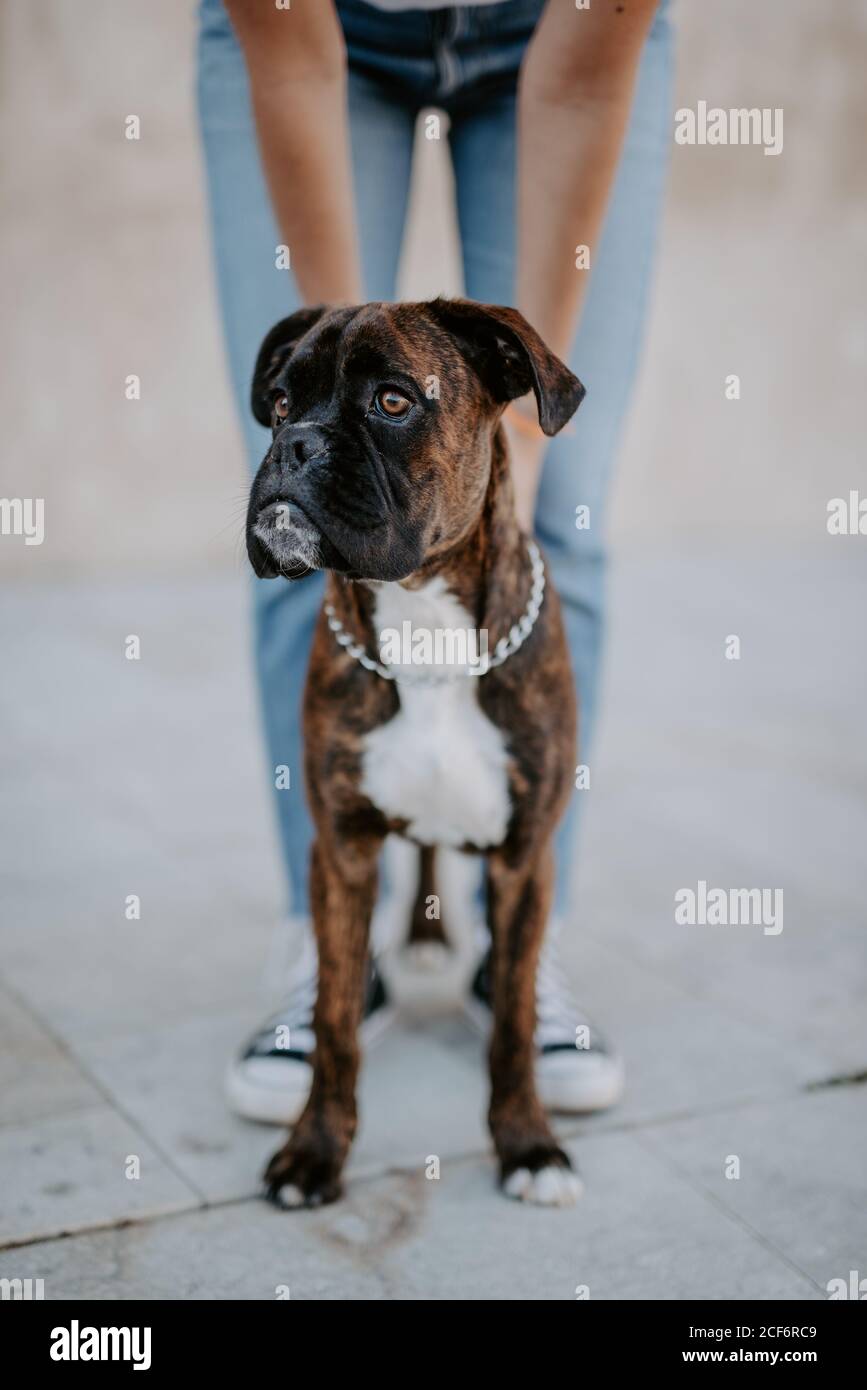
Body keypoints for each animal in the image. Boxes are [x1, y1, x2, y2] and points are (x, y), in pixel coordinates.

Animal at [244, 296, 583, 1206]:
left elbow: (512, 1021)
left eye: (392, 402)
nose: (292, 445)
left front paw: (528, 1146)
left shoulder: (522, 859)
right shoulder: (342, 853)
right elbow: (333, 1023)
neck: (424, 628)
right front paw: (314, 1151)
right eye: (281, 403)